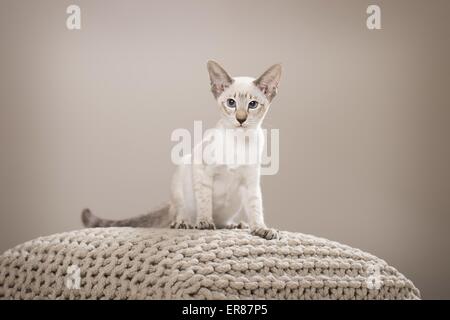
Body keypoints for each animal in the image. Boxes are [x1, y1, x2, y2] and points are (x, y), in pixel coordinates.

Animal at [81, 60, 282, 240]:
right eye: (231, 103)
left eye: (252, 104)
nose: (240, 119)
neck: (238, 141)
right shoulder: (202, 170)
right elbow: (204, 202)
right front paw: (204, 223)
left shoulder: (250, 182)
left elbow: (256, 209)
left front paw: (262, 229)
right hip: (181, 173)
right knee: (180, 212)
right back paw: (185, 223)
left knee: (222, 221)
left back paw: (236, 225)